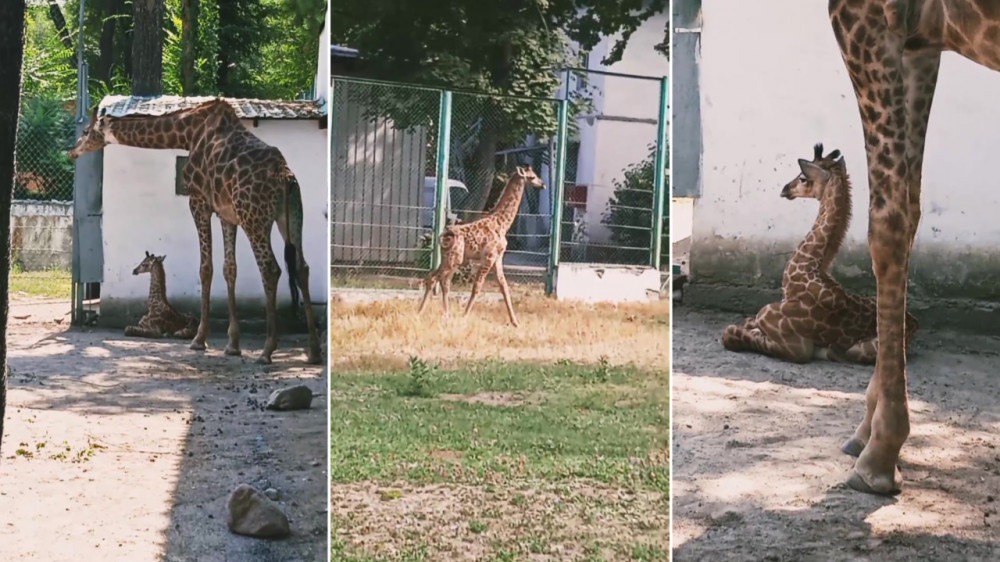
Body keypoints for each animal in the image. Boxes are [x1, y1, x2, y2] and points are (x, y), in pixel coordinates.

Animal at [420, 164, 552, 326]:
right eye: (532, 176)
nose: (543, 184)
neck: (503, 223)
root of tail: (442, 237)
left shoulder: (498, 258)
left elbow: (503, 286)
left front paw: (515, 322)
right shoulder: (489, 257)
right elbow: (477, 286)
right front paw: (464, 316)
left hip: (451, 258)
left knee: (439, 279)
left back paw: (437, 314)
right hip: (454, 259)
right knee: (437, 279)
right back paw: (430, 313)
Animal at [724, 142, 916, 366]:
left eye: (802, 178)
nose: (784, 189)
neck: (808, 268)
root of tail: (914, 323)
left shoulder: (796, 347)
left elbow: (730, 332)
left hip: (861, 350)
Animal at [828, 0, 1000, 490]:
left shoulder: (864, 17)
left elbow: (887, 222)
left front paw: (880, 454)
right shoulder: (921, 41)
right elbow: (913, 206)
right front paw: (867, 429)